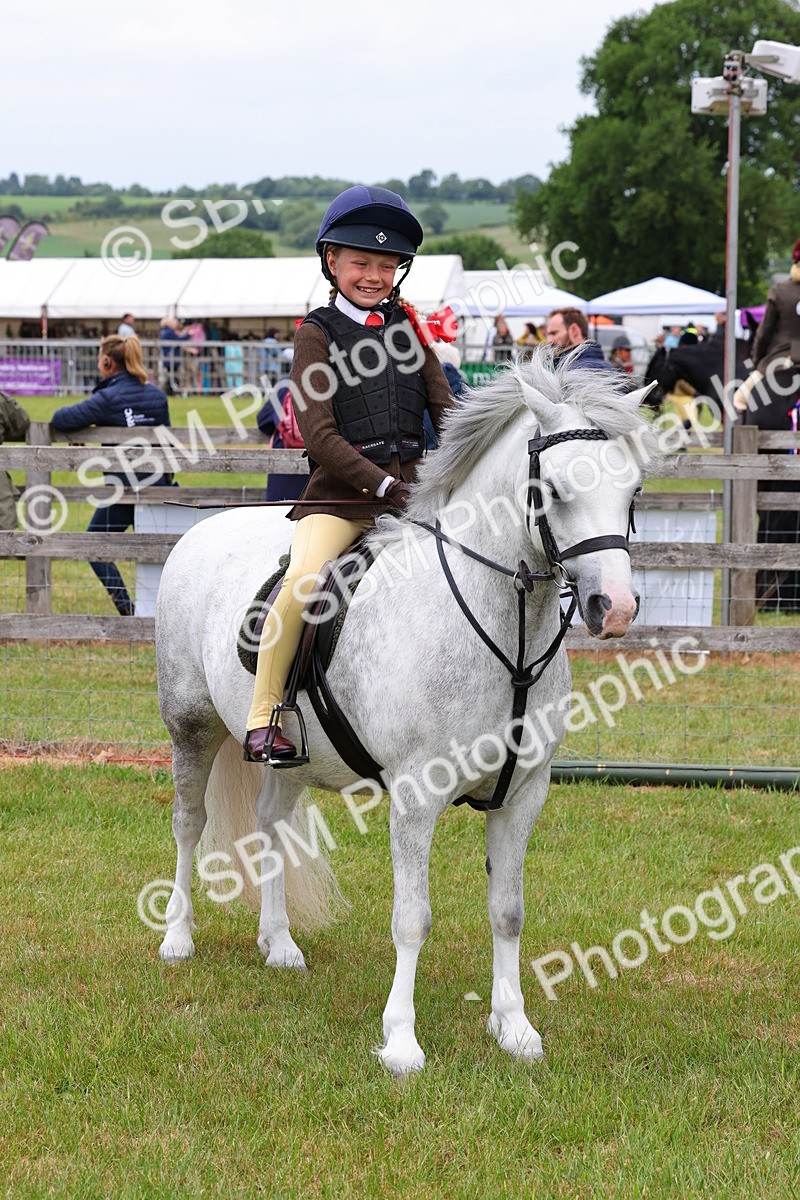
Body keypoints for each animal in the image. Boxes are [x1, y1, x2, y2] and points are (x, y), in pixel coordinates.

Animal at [155, 352, 657, 1074]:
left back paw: (279, 944)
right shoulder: (416, 797)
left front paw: (514, 1028)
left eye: (633, 489)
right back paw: (177, 936)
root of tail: (202, 527)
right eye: (558, 490)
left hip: (289, 753)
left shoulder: (522, 794)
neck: (505, 636)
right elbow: (412, 918)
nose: (613, 607)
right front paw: (400, 1041)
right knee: (188, 824)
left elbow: (508, 911)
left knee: (271, 823)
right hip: (190, 727)